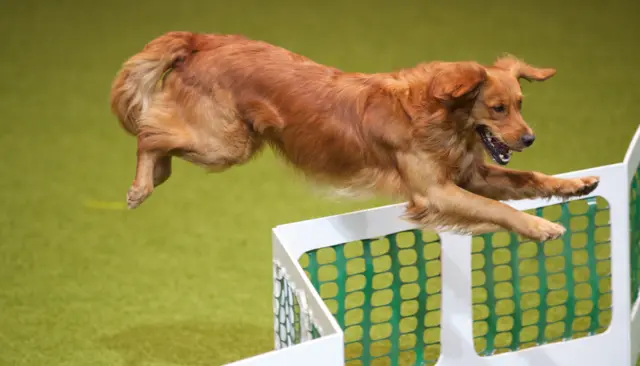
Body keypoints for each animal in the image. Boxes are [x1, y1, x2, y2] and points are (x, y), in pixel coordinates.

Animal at [111, 31, 600, 240]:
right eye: (498, 109)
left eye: (521, 104)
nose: (530, 138)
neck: (439, 114)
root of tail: (201, 40)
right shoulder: (436, 193)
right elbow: (499, 210)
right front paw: (541, 226)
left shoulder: (470, 177)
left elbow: (528, 180)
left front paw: (575, 183)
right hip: (227, 144)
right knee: (149, 134)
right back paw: (140, 186)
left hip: (227, 142)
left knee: (161, 135)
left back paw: (156, 176)